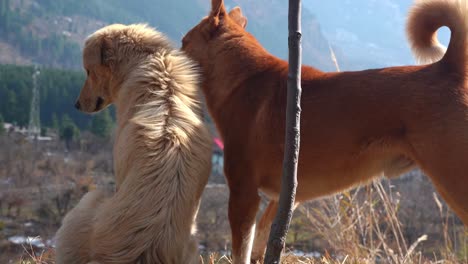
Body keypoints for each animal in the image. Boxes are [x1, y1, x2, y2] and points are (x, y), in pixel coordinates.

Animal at [182, 0, 468, 262]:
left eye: (185, 42)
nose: (174, 51)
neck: (241, 78)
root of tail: (447, 68)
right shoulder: (282, 199)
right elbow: (262, 245)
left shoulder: (244, 194)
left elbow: (241, 251)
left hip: (454, 182)